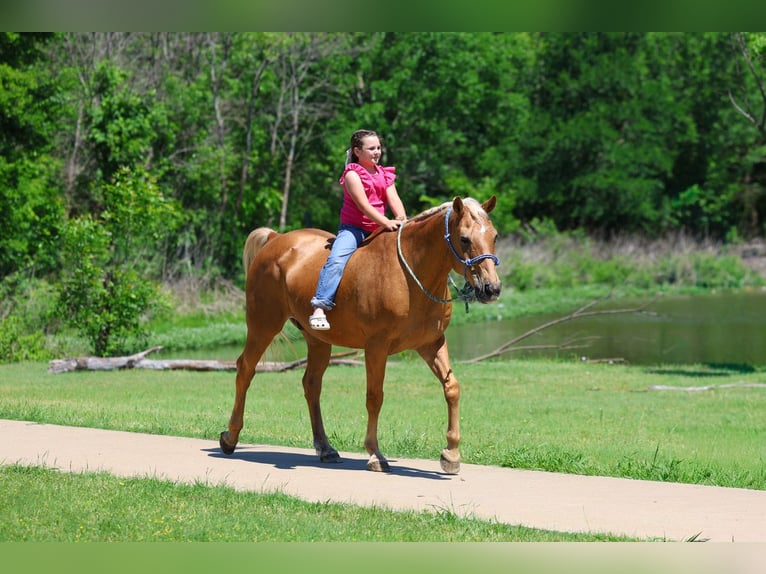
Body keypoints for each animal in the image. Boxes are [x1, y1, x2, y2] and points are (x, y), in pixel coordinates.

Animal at [219, 195, 502, 474]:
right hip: (263, 325)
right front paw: (375, 453)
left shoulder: (432, 344)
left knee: (311, 384)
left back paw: (325, 448)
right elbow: (375, 397)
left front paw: (451, 453)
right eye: (464, 239)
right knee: (245, 369)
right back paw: (230, 437)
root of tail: (276, 238)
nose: (492, 288)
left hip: (318, 341)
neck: (410, 275)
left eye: (495, 237)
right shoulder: (377, 347)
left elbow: (452, 387)